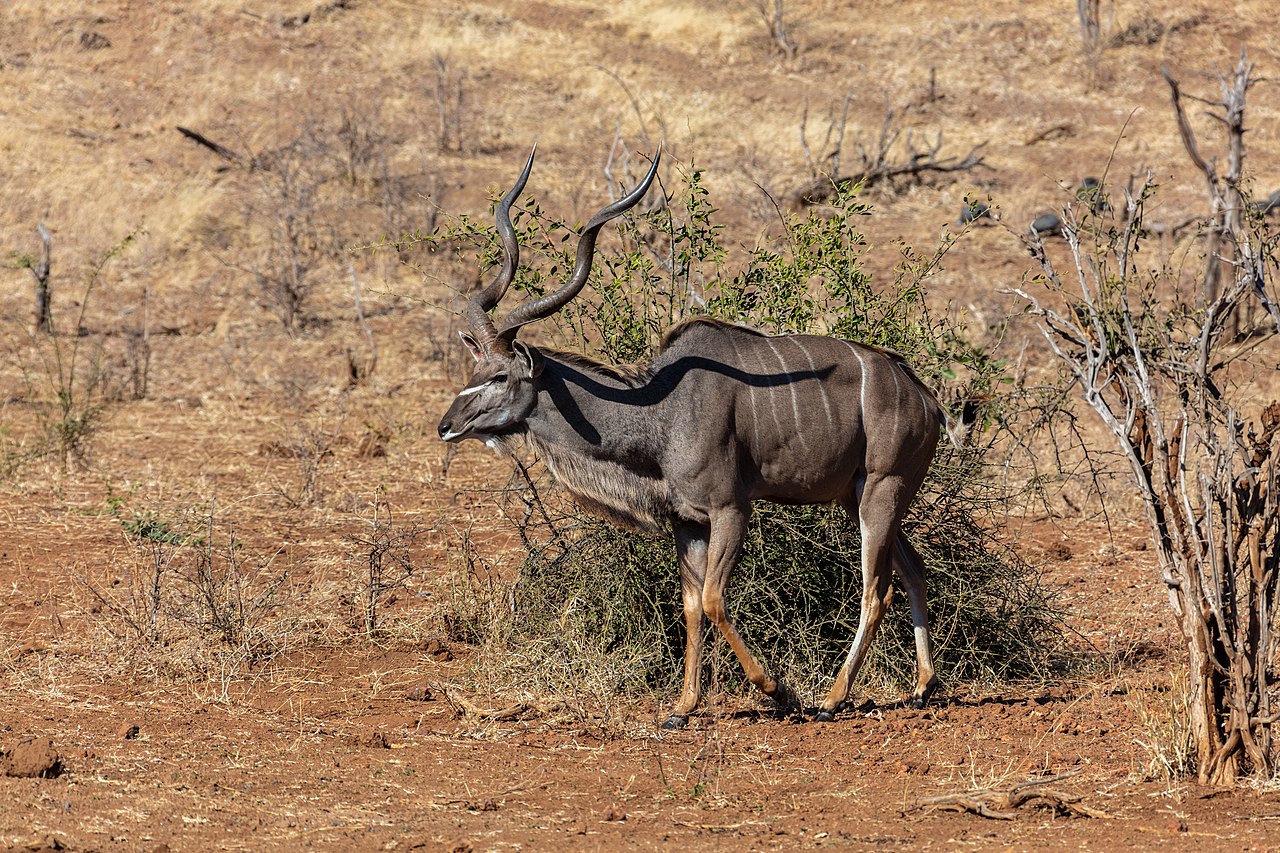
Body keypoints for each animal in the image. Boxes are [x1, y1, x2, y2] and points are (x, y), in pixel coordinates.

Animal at [440, 147, 962, 722]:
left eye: (499, 376)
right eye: (474, 368)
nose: (446, 425)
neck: (660, 415)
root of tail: (926, 398)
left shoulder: (731, 509)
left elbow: (713, 599)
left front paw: (777, 690)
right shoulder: (686, 522)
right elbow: (691, 605)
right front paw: (683, 706)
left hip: (881, 491)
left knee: (876, 590)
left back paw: (831, 698)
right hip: (861, 497)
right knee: (912, 571)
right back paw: (922, 687)